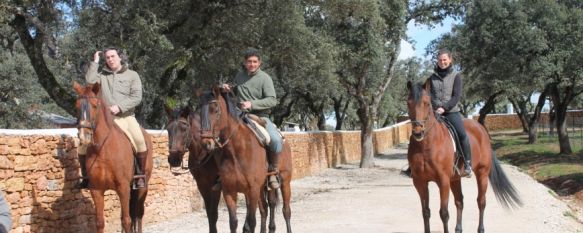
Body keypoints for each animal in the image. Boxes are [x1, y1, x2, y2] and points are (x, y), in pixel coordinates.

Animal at [72, 81, 153, 233]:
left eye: (95, 105)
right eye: (77, 106)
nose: (84, 136)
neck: (104, 150)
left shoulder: (123, 188)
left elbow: (127, 221)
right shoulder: (96, 190)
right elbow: (100, 222)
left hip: (142, 187)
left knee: (138, 214)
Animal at [164, 105, 224, 233]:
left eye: (184, 128)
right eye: (168, 129)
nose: (174, 159)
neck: (204, 153)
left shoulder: (215, 186)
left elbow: (214, 214)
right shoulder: (203, 185)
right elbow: (210, 215)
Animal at [198, 86, 294, 233]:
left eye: (216, 110)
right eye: (199, 112)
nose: (206, 143)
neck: (236, 151)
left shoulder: (252, 190)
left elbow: (251, 222)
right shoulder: (229, 191)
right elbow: (233, 223)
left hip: (284, 182)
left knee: (286, 211)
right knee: (266, 208)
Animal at [406, 80, 524, 233]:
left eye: (426, 103)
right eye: (408, 103)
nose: (418, 132)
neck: (425, 146)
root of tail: (481, 129)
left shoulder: (443, 181)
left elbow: (444, 213)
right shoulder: (420, 182)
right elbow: (426, 212)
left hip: (482, 173)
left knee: (481, 201)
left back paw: (481, 229)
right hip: (455, 179)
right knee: (459, 202)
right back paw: (459, 229)